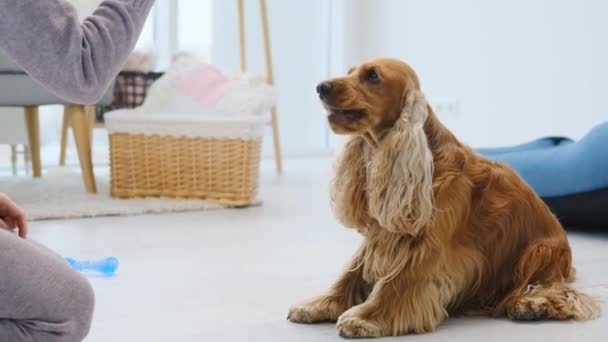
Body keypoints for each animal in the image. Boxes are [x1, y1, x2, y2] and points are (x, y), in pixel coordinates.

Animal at [288, 58, 600, 336]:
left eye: (373, 76)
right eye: (350, 71)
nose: (321, 87)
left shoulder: (429, 245)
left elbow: (398, 280)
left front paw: (364, 318)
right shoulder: (381, 233)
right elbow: (350, 272)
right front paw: (319, 304)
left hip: (539, 252)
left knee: (552, 288)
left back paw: (531, 304)